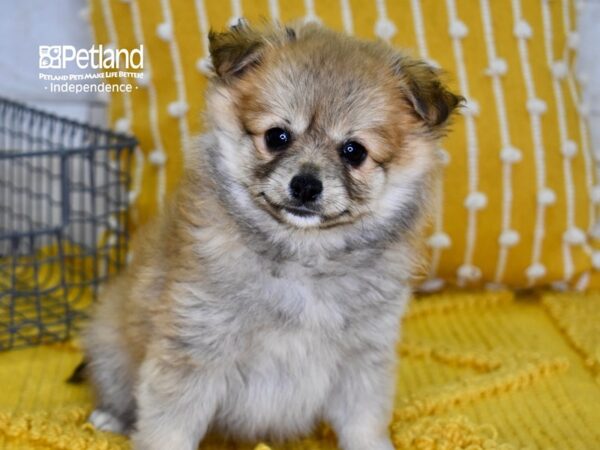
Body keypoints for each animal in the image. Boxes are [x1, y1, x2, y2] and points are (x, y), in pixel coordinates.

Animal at [82, 20, 462, 450]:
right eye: (277, 136)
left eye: (354, 151)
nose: (306, 185)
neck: (304, 256)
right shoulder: (195, 346)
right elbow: (170, 429)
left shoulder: (362, 359)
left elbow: (364, 425)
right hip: (110, 344)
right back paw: (109, 417)